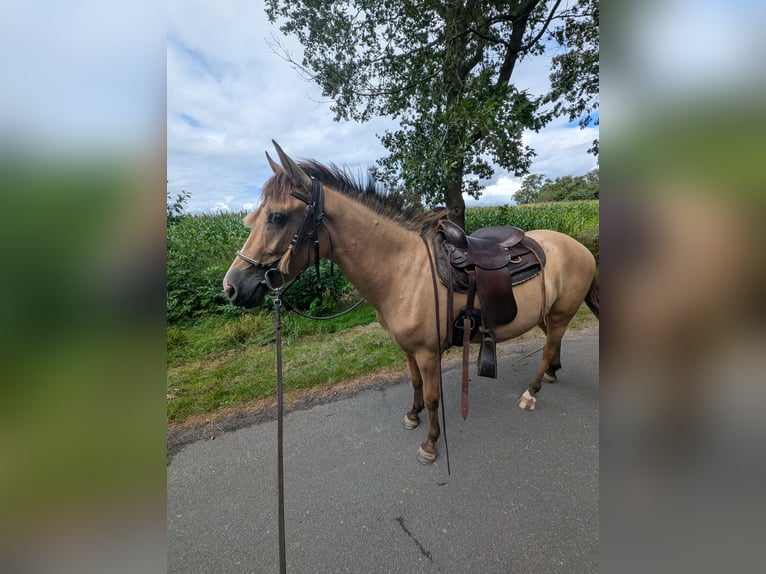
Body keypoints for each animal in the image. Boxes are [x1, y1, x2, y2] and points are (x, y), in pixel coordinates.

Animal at [223, 141, 599, 465]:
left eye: (277, 217)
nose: (232, 287)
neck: (402, 269)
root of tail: (579, 246)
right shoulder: (407, 349)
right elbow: (416, 384)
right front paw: (412, 416)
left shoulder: (428, 352)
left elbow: (433, 396)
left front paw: (430, 444)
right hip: (548, 315)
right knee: (553, 345)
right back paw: (552, 374)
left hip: (561, 314)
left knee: (548, 349)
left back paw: (532, 392)